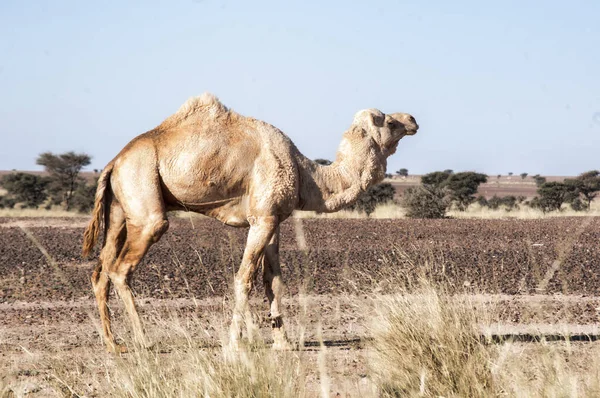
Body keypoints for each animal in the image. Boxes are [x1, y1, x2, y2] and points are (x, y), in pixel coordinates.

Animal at [82, 92, 420, 352]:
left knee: (102, 269)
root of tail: (114, 161)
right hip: (145, 200)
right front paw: (234, 342)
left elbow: (273, 281)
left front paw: (282, 342)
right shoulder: (262, 219)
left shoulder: (273, 220)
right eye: (389, 122)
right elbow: (243, 278)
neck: (305, 174)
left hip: (120, 209)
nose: (413, 119)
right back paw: (143, 341)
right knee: (121, 268)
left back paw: (113, 344)